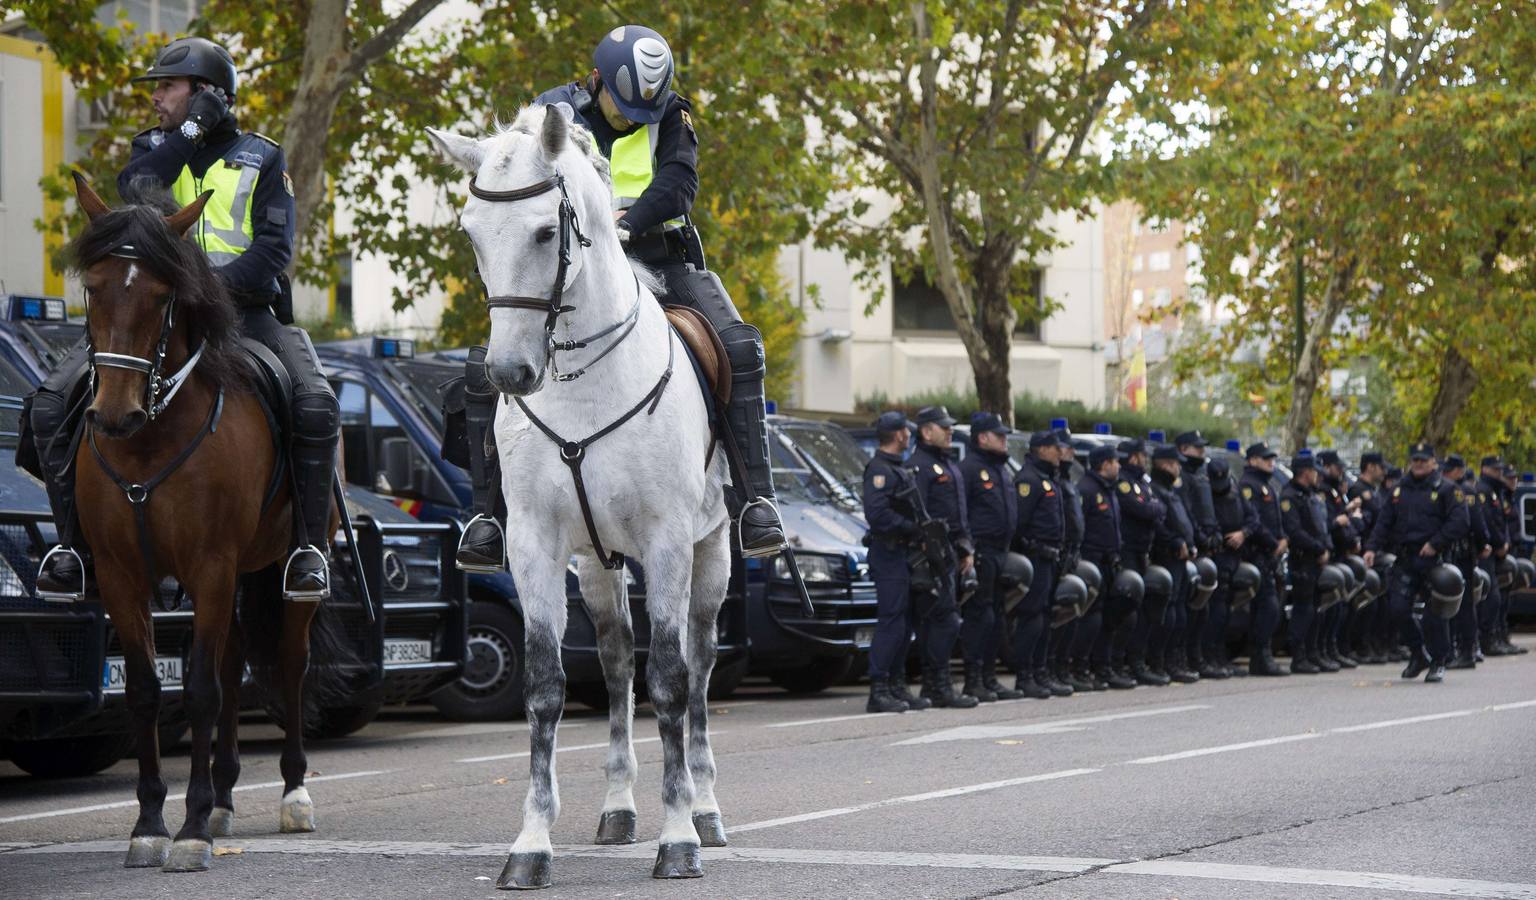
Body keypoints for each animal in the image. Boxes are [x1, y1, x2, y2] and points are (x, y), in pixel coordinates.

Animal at [69, 173, 336, 866]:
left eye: (163, 295)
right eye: (93, 287)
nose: (114, 414)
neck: (150, 439)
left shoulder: (211, 565)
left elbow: (200, 691)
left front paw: (187, 831)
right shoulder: (123, 575)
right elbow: (145, 691)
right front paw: (149, 825)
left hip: (280, 571)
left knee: (289, 663)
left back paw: (293, 794)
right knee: (235, 658)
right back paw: (223, 797)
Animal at [423, 103, 728, 884]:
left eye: (542, 231)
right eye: (472, 232)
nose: (509, 372)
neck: (585, 383)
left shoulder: (666, 542)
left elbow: (672, 680)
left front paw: (678, 837)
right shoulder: (536, 543)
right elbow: (546, 686)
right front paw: (531, 844)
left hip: (712, 551)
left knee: (700, 665)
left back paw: (708, 812)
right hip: (595, 562)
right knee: (617, 663)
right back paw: (618, 808)